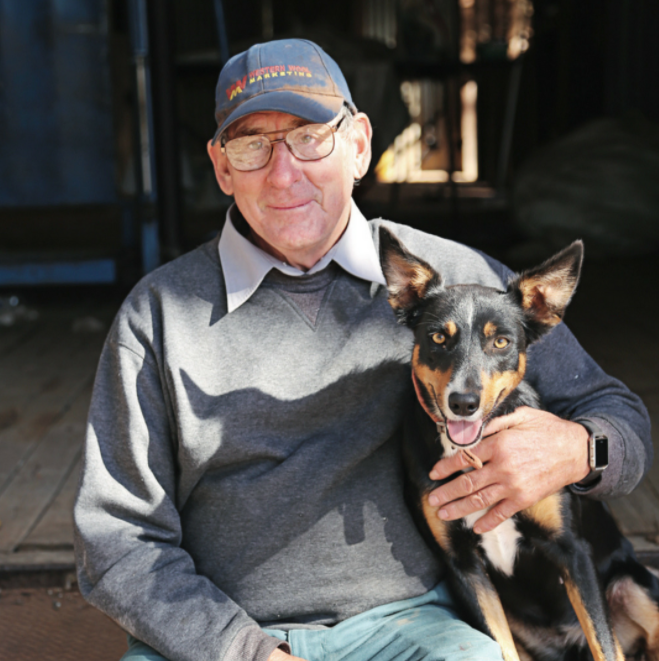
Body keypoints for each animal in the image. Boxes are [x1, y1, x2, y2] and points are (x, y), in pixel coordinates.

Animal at [378, 228, 659, 660]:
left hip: (632, 587)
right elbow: (499, 645)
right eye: (438, 337)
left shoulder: (572, 552)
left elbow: (604, 645)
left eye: (501, 342)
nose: (463, 403)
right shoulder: (463, 566)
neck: (471, 453)